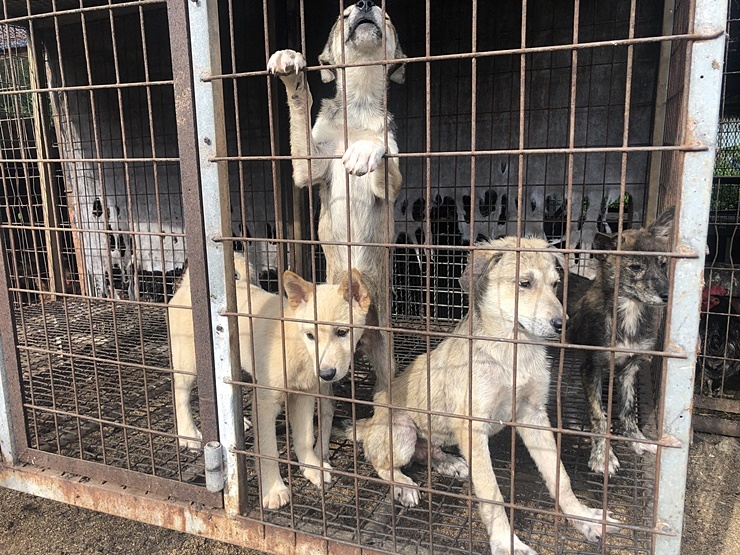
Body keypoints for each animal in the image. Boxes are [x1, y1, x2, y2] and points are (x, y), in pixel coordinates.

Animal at [166, 254, 368, 510]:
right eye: (310, 336)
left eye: (342, 332)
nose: (327, 374)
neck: (296, 345)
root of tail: (185, 287)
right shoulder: (265, 402)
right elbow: (269, 450)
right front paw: (274, 490)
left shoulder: (304, 396)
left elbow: (305, 438)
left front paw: (312, 469)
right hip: (189, 363)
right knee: (180, 392)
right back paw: (188, 433)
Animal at [350, 236, 620, 555]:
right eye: (524, 283)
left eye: (556, 284)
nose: (562, 323)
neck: (513, 350)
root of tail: (370, 423)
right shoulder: (472, 426)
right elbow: (492, 493)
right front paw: (507, 543)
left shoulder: (533, 415)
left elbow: (560, 477)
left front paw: (584, 518)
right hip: (402, 430)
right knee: (383, 464)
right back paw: (403, 484)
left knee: (426, 450)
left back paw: (448, 462)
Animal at [568, 206, 676, 476]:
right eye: (636, 267)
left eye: (663, 264)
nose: (667, 295)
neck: (629, 313)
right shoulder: (591, 368)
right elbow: (599, 416)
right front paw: (602, 456)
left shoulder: (630, 367)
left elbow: (627, 410)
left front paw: (636, 439)